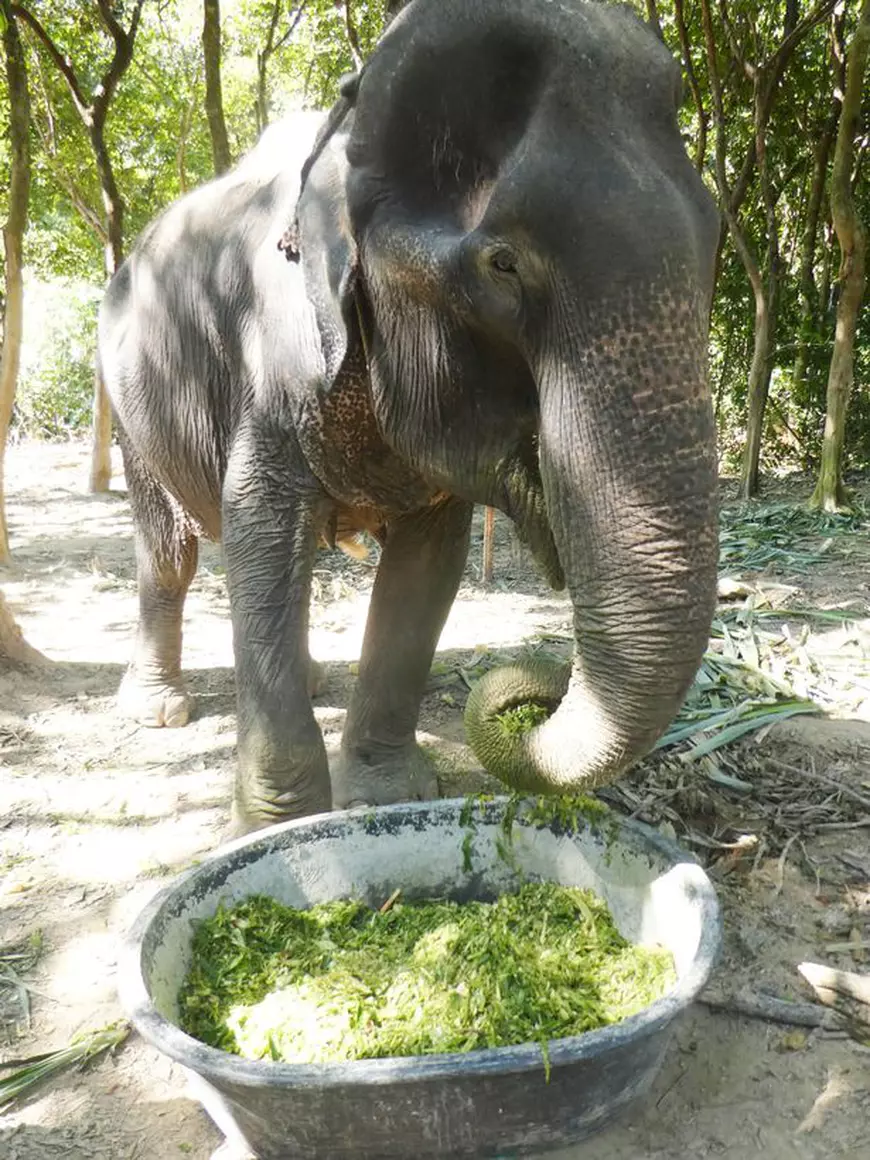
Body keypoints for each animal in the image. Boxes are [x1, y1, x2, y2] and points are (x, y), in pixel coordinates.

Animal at [97, 0, 720, 836]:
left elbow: (429, 563)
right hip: (125, 402)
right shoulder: (273, 360)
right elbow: (259, 524)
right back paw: (157, 710)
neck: (350, 133)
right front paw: (280, 827)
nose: (534, 692)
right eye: (503, 264)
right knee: (172, 553)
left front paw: (389, 793)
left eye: (717, 237)